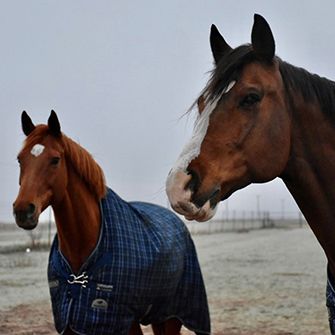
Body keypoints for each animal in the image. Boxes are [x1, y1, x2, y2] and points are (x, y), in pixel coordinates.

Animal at [14, 112, 211, 335]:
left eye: (55, 160)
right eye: (20, 159)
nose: (23, 211)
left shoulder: (122, 322)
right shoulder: (71, 322)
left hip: (173, 315)